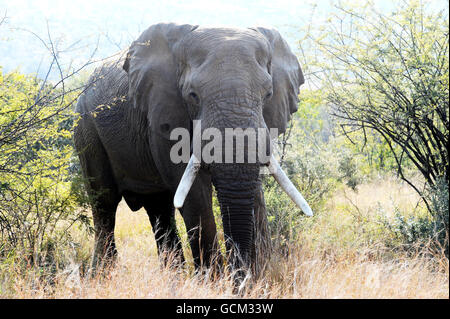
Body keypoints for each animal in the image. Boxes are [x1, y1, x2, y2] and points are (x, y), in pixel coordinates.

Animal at [74, 22, 312, 286]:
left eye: (268, 95)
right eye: (192, 95)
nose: (239, 281)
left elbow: (255, 193)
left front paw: (256, 279)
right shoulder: (163, 113)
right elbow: (193, 192)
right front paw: (212, 283)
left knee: (159, 207)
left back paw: (173, 277)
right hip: (85, 128)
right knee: (104, 204)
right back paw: (103, 276)